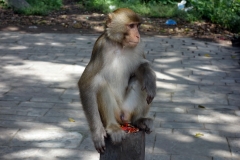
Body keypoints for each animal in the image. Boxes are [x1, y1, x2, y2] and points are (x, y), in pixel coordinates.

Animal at [78, 7, 157, 152]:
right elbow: (86, 83)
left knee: (139, 81)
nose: (138, 35)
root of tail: (122, 119)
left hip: (128, 110)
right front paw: (97, 133)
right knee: (101, 84)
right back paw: (112, 127)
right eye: (131, 26)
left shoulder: (138, 47)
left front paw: (149, 78)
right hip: (114, 114)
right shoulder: (100, 47)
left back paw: (139, 120)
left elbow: (139, 67)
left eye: (137, 26)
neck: (120, 45)